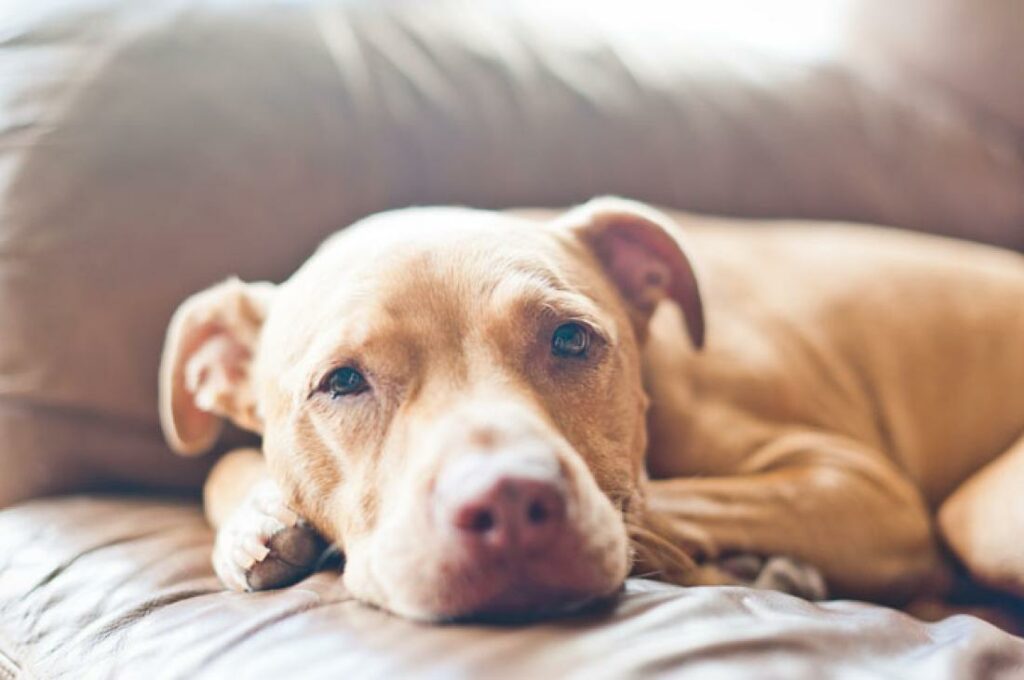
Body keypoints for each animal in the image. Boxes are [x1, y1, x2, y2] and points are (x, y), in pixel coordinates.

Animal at [157, 197, 1024, 622]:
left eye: (572, 338)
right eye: (341, 382)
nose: (509, 503)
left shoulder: (864, 491)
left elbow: (666, 503)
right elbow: (229, 459)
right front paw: (256, 521)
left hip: (981, 515)